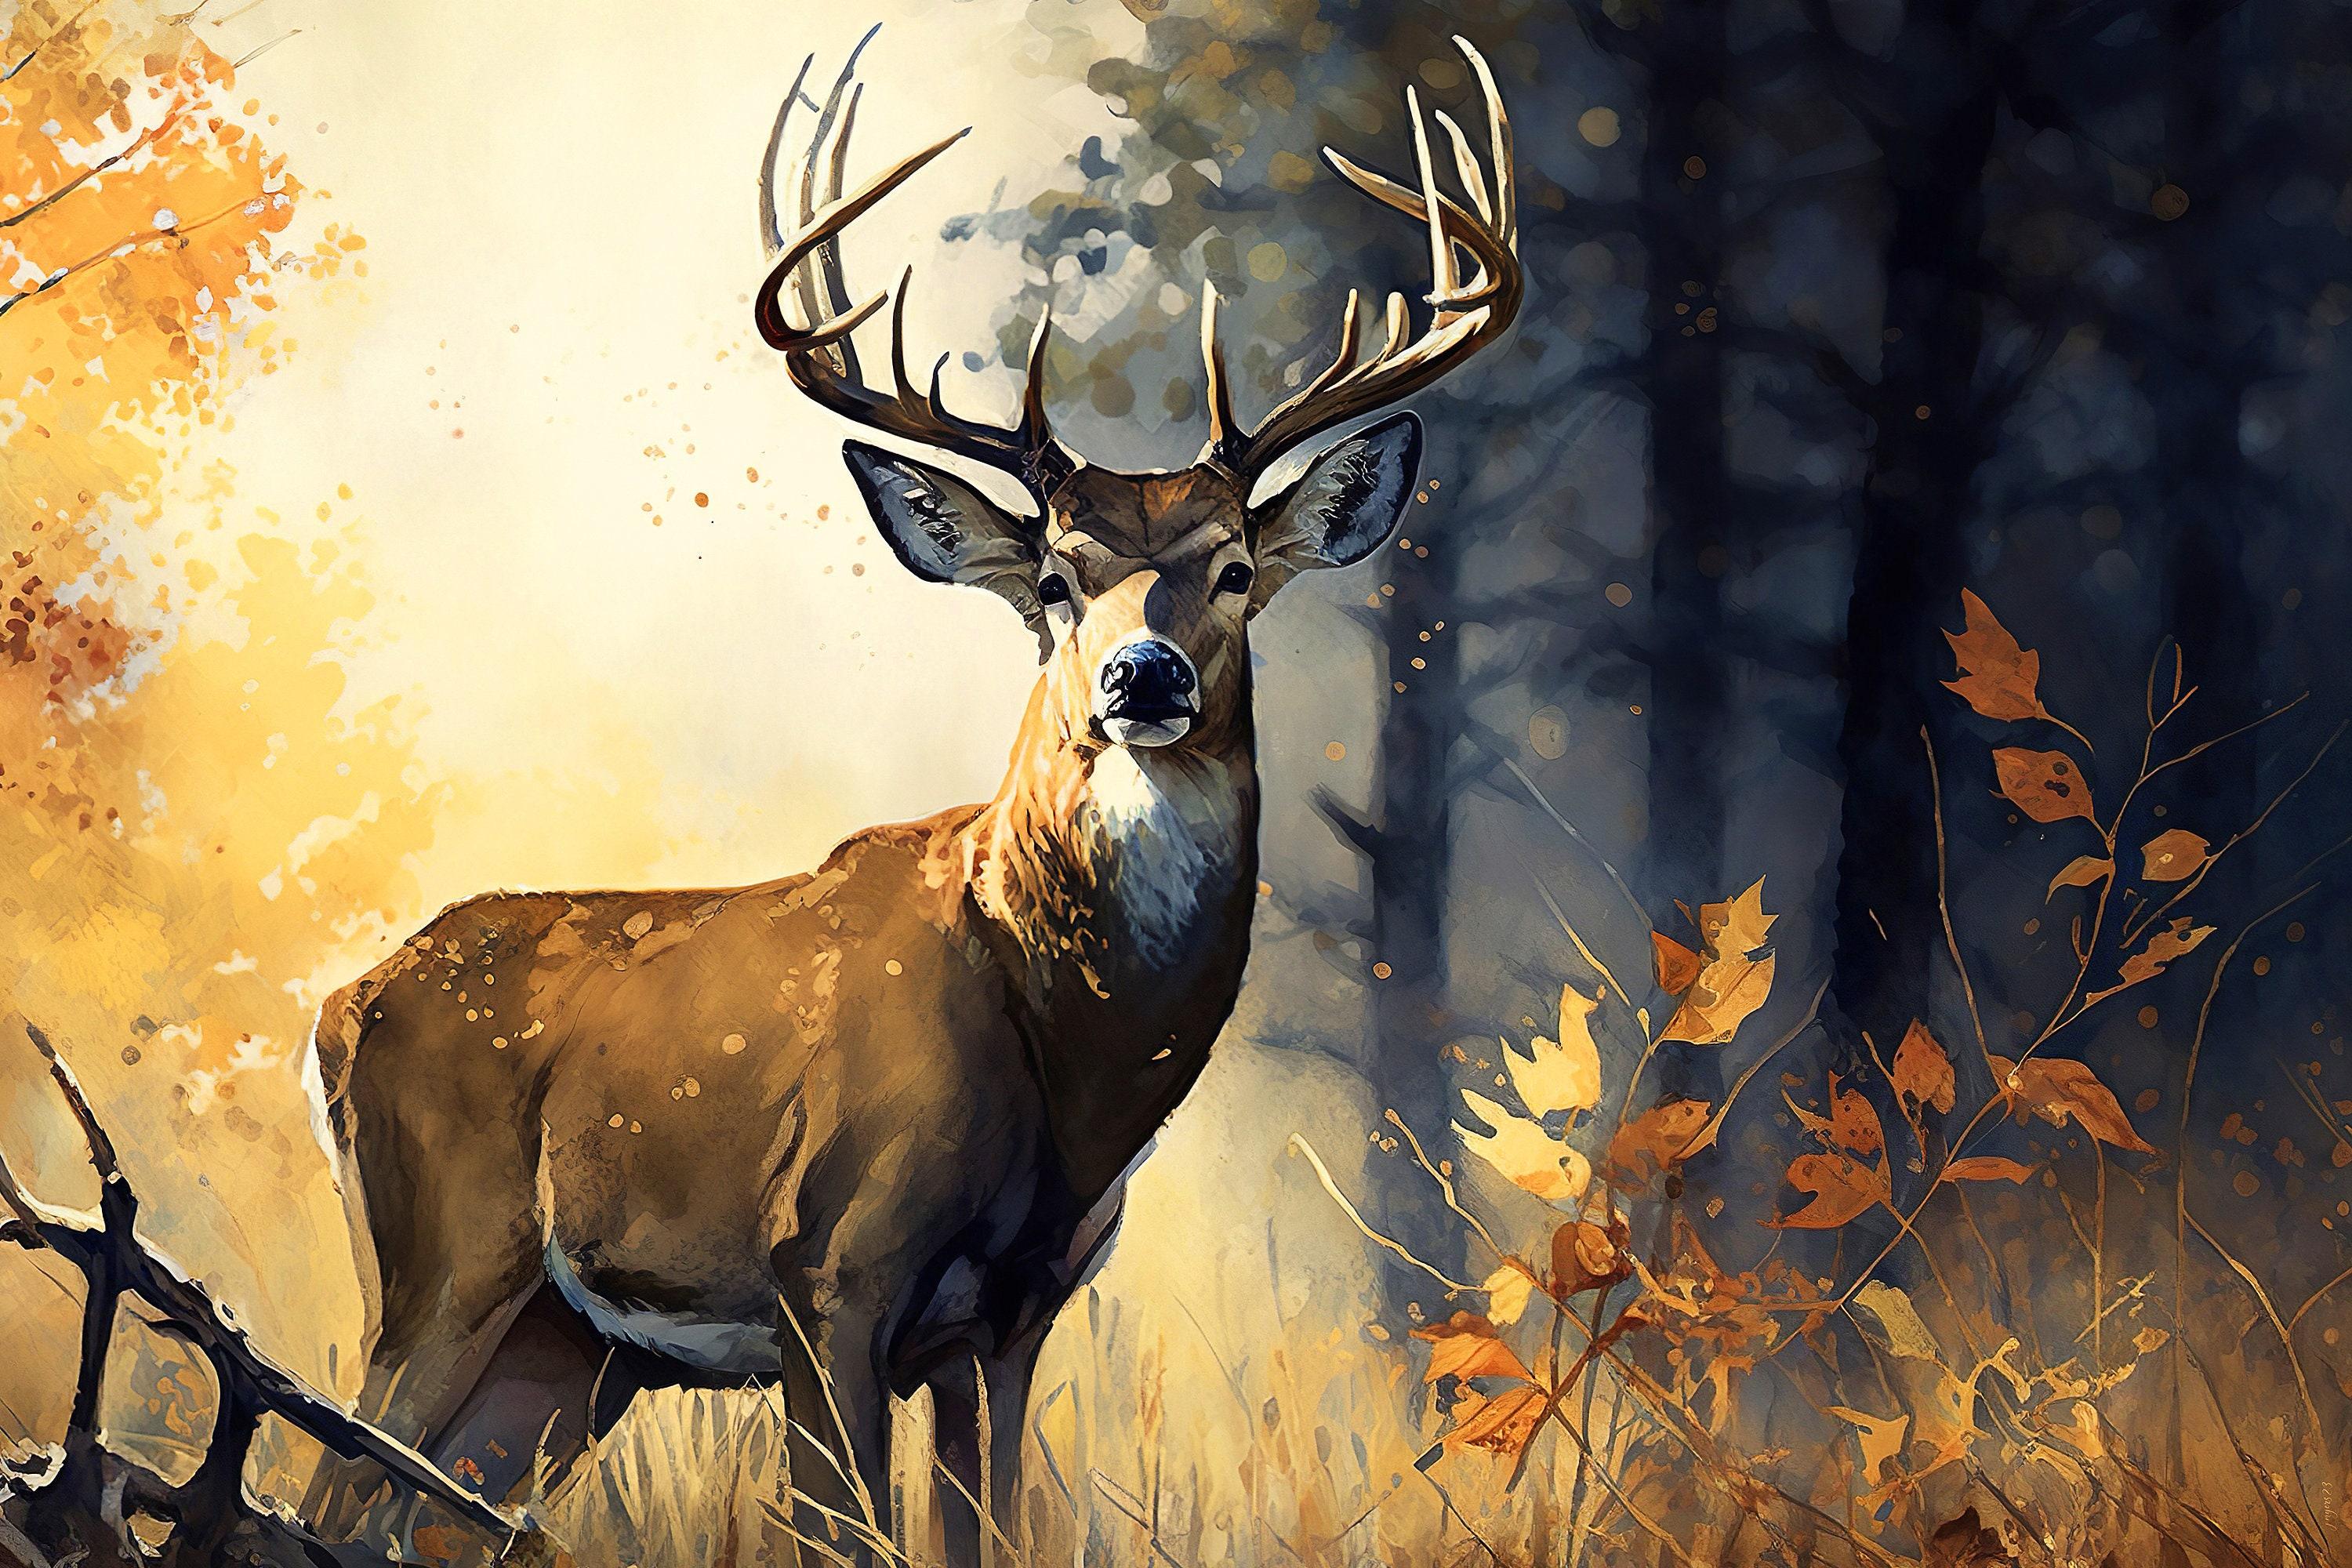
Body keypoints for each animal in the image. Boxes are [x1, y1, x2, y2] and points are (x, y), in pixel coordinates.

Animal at [298, 36, 1519, 1567]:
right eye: (1053, 577)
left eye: (1237, 568)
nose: (1142, 675)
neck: (1070, 1067)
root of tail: (337, 1006)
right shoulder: (830, 1266)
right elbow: (844, 1527)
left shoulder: (1013, 1320)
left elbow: (987, 1526)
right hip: (444, 1259)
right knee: (315, 1486)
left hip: (566, 1353)